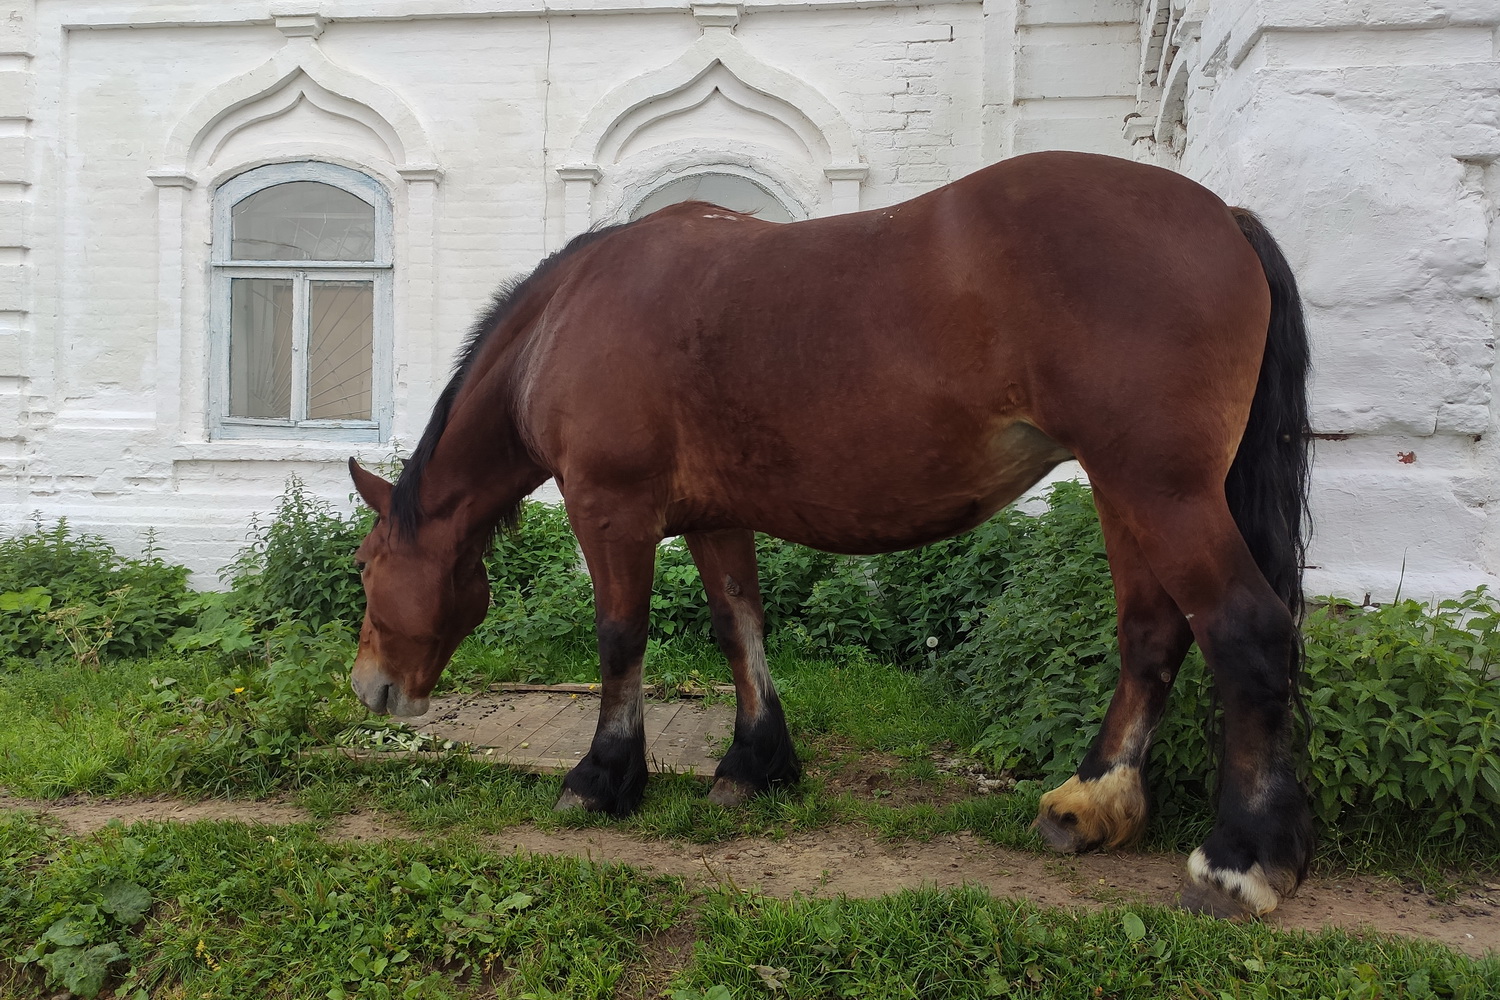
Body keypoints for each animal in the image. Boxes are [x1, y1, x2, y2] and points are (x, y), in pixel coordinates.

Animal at [351, 150, 1314, 923]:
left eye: (364, 567)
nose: (369, 689)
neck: (566, 318)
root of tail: (1221, 216)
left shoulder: (610, 510)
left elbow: (620, 638)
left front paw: (603, 777)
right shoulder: (716, 518)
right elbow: (739, 628)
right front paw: (756, 763)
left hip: (1161, 490)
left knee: (1246, 633)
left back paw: (1239, 862)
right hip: (1126, 493)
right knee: (1150, 635)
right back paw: (1090, 803)